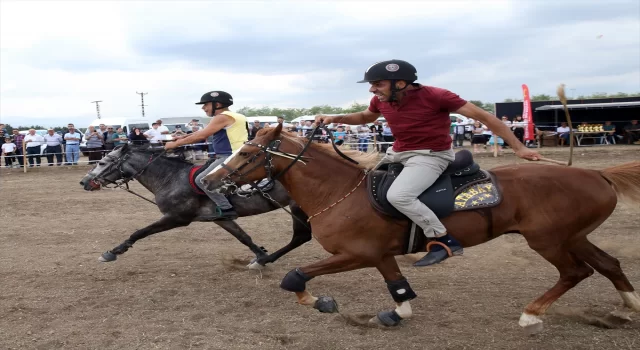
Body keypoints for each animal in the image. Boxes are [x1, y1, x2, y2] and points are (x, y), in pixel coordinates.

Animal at [79, 144, 312, 270]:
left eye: (102, 162)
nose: (84, 182)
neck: (171, 178)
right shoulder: (222, 219)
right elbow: (244, 237)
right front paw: (260, 255)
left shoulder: (176, 218)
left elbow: (140, 232)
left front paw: (113, 252)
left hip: (298, 208)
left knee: (301, 237)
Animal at [204, 123, 640, 334]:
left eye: (247, 153)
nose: (210, 180)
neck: (340, 192)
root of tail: (597, 173)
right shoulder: (379, 256)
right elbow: (399, 288)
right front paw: (395, 314)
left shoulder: (356, 255)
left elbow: (295, 276)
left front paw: (321, 301)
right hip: (574, 237)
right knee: (609, 264)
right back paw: (627, 307)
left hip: (548, 241)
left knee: (575, 272)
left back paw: (532, 315)